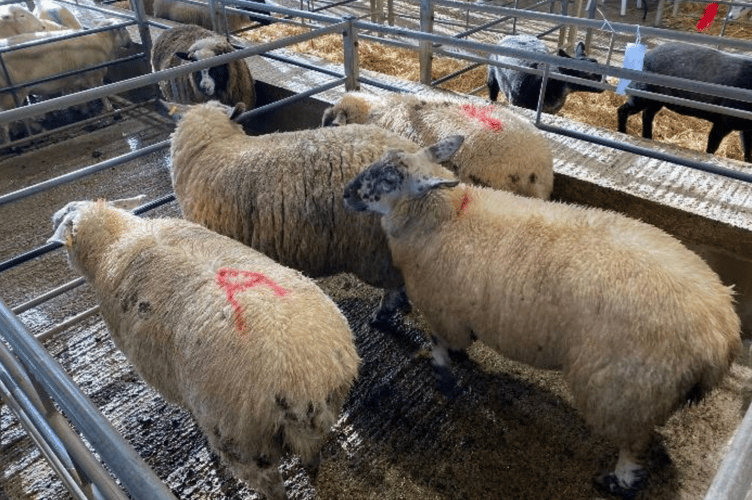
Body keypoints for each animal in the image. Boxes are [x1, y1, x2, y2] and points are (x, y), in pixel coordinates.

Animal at [0, 20, 132, 143]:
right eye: (124, 28)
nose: (130, 43)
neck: (101, 40)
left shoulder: (76, 79)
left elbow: (79, 94)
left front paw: (82, 109)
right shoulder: (94, 76)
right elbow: (102, 94)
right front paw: (110, 109)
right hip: (12, 95)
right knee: (7, 122)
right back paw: (15, 143)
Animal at [48, 197, 360, 500]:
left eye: (62, 218)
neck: (116, 239)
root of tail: (301, 382)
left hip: (242, 442)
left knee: (272, 487)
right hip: (319, 418)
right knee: (313, 459)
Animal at [342, 135, 742, 499]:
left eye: (389, 179)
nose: (346, 193)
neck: (449, 214)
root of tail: (721, 334)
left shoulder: (444, 310)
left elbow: (439, 344)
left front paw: (445, 376)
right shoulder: (459, 310)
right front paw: (458, 358)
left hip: (624, 390)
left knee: (633, 448)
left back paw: (616, 481)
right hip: (645, 394)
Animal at [617, 42, 752, 163]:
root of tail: (646, 56)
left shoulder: (746, 129)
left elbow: (747, 148)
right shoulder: (724, 120)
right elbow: (713, 142)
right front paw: (709, 155)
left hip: (657, 101)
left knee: (647, 115)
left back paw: (649, 138)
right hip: (643, 94)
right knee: (623, 109)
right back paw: (623, 132)